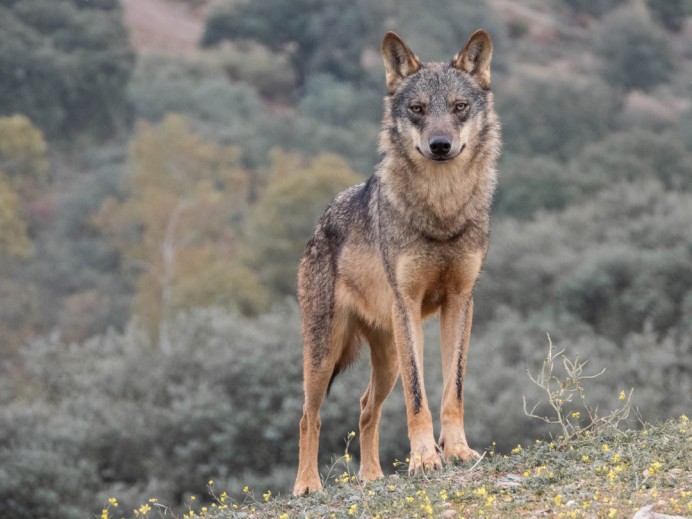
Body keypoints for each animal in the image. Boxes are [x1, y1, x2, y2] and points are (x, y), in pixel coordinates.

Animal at [293, 29, 501, 495]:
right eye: (418, 109)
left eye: (459, 107)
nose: (440, 146)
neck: (441, 211)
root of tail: (319, 223)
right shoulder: (408, 305)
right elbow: (418, 397)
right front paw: (425, 459)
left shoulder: (461, 302)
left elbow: (453, 390)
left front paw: (457, 451)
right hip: (324, 353)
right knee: (308, 416)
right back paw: (307, 485)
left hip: (386, 358)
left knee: (365, 406)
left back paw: (371, 477)